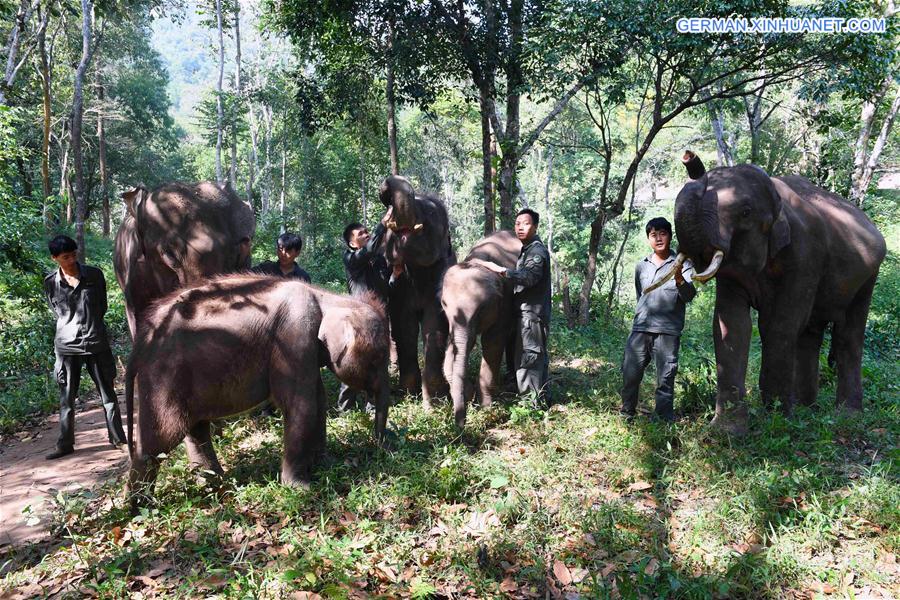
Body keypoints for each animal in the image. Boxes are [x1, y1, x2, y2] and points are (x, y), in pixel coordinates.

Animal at [125, 274, 390, 506]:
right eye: (378, 359)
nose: (380, 449)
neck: (327, 297)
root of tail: (140, 343)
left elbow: (318, 400)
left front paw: (324, 464)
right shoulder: (293, 335)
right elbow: (300, 405)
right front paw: (301, 488)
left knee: (195, 428)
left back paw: (216, 486)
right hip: (163, 375)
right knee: (162, 436)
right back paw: (139, 506)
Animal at [378, 173, 458, 408]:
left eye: (430, 212)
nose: (385, 194)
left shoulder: (440, 275)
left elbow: (435, 325)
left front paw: (435, 402)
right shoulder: (399, 287)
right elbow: (404, 326)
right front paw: (408, 393)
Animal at [442, 229, 520, 426]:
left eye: (481, 309)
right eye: (444, 305)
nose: (460, 426)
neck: (479, 261)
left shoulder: (505, 301)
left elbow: (492, 342)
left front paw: (486, 408)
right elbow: (456, 345)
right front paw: (469, 395)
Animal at [648, 149, 884, 432]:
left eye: (746, 212)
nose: (689, 158)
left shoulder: (806, 255)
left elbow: (778, 325)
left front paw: (777, 420)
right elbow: (731, 325)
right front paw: (727, 430)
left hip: (868, 277)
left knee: (848, 335)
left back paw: (845, 417)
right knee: (810, 333)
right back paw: (806, 409)